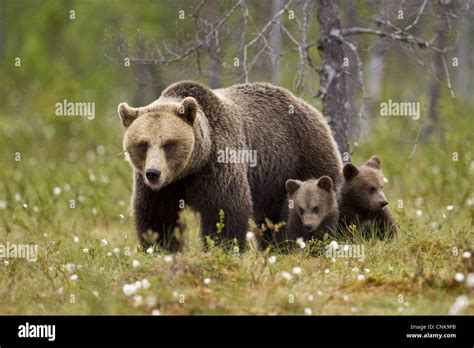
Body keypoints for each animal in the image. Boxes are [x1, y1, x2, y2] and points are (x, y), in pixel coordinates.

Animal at [117, 81, 342, 250]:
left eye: (168, 144)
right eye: (143, 144)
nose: (153, 173)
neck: (189, 169)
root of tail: (310, 108)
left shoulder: (217, 163)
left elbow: (224, 209)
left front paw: (222, 247)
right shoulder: (162, 188)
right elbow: (158, 216)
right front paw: (161, 248)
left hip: (303, 158)